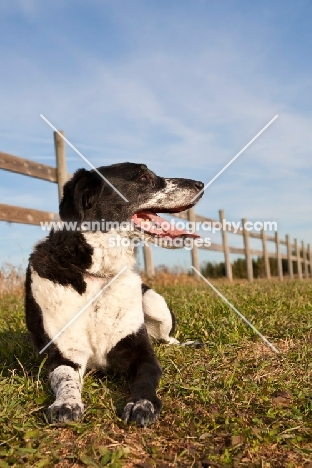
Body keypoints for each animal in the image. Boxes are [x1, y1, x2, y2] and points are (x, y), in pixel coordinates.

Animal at [25, 164, 204, 428]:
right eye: (143, 177)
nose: (201, 184)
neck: (99, 275)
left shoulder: (141, 354)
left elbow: (145, 380)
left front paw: (142, 404)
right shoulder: (64, 355)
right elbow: (65, 380)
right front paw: (66, 404)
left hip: (153, 303)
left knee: (168, 339)